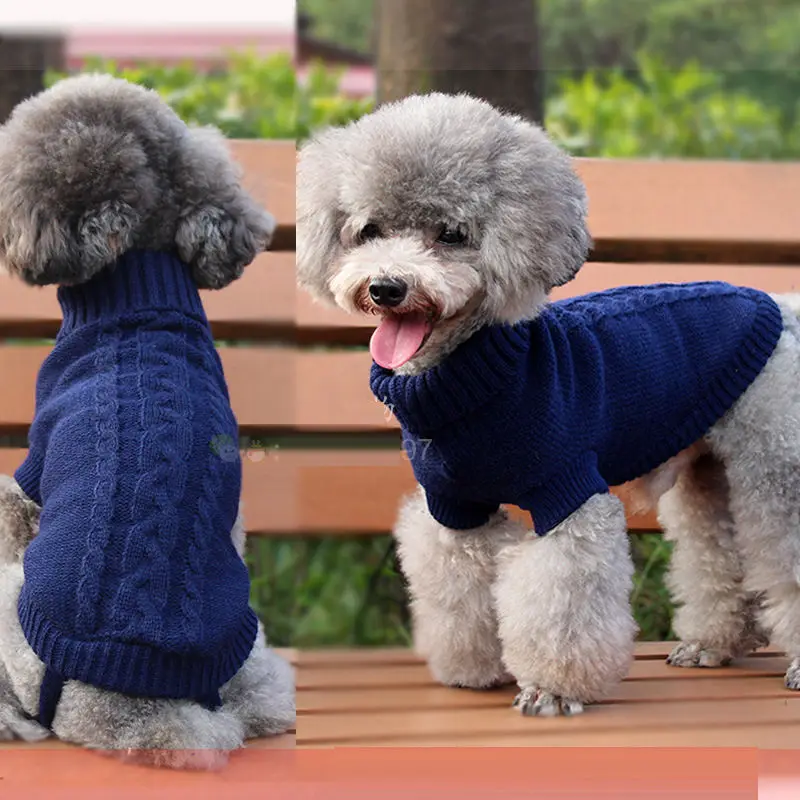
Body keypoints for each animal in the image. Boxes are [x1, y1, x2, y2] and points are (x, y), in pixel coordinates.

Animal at [298, 90, 800, 716]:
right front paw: (472, 668)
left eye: (451, 234)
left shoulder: (567, 492)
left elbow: (560, 595)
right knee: (719, 555)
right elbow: (459, 589)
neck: (476, 378)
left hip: (775, 465)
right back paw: (713, 644)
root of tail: (782, 305)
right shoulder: (453, 507)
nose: (387, 287)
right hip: (711, 475)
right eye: (368, 231)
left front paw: (552, 688)